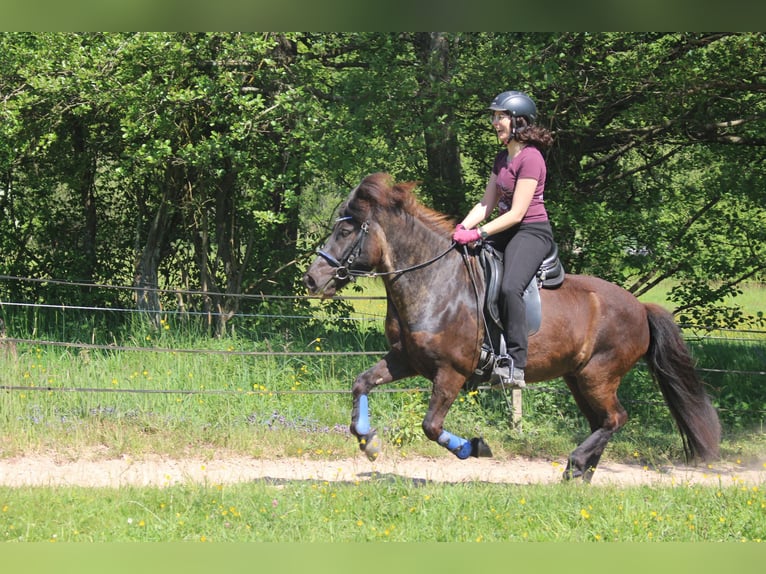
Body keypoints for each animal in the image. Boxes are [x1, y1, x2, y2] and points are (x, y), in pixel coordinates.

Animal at [303, 172, 721, 482]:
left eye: (346, 231)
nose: (311, 279)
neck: (434, 282)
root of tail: (640, 307)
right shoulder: (405, 359)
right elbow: (361, 384)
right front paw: (369, 442)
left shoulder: (451, 372)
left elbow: (431, 426)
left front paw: (473, 448)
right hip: (579, 377)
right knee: (603, 421)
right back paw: (581, 473)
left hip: (598, 374)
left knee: (616, 418)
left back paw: (575, 465)